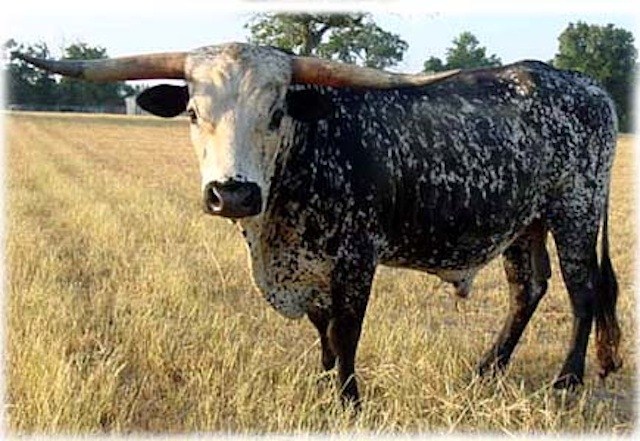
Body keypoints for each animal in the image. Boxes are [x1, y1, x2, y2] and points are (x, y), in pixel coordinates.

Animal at [16, 42, 622, 406]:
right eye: (192, 112)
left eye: (276, 112)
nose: (232, 193)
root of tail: (587, 85)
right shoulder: (303, 264)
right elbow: (321, 326)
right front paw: (323, 380)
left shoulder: (356, 256)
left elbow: (346, 328)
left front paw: (347, 398)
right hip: (525, 222)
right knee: (528, 288)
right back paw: (487, 369)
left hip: (575, 209)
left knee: (583, 290)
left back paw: (567, 380)